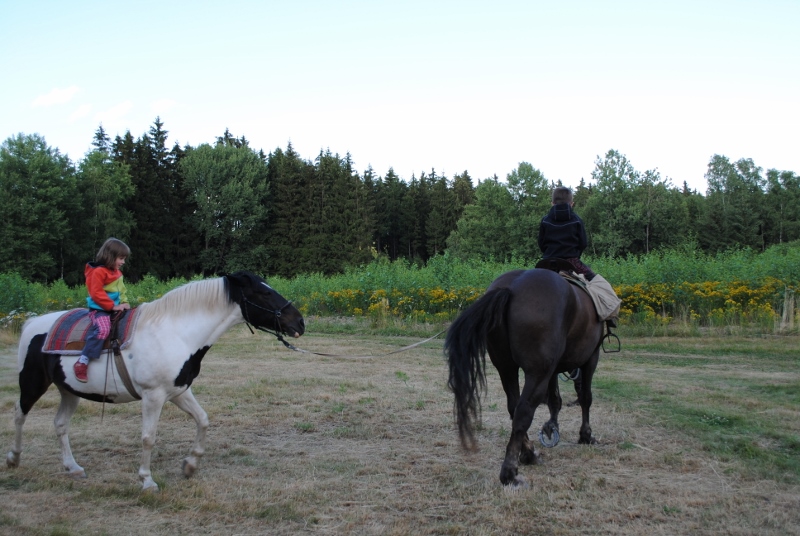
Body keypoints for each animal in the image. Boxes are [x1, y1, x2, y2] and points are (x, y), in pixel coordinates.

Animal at [6, 271, 305, 491]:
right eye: (264, 293)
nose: (300, 322)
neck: (175, 333)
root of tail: (32, 324)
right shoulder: (153, 396)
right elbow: (148, 438)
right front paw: (147, 480)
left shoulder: (178, 392)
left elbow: (203, 420)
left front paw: (190, 465)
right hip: (32, 383)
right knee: (19, 415)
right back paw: (13, 458)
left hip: (69, 390)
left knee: (60, 424)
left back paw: (73, 467)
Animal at [445, 268, 603, 487]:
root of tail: (510, 288)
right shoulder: (591, 358)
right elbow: (585, 397)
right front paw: (586, 435)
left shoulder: (553, 369)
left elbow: (555, 399)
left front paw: (552, 427)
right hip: (537, 373)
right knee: (524, 410)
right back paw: (511, 470)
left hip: (507, 368)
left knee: (514, 406)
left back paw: (528, 453)